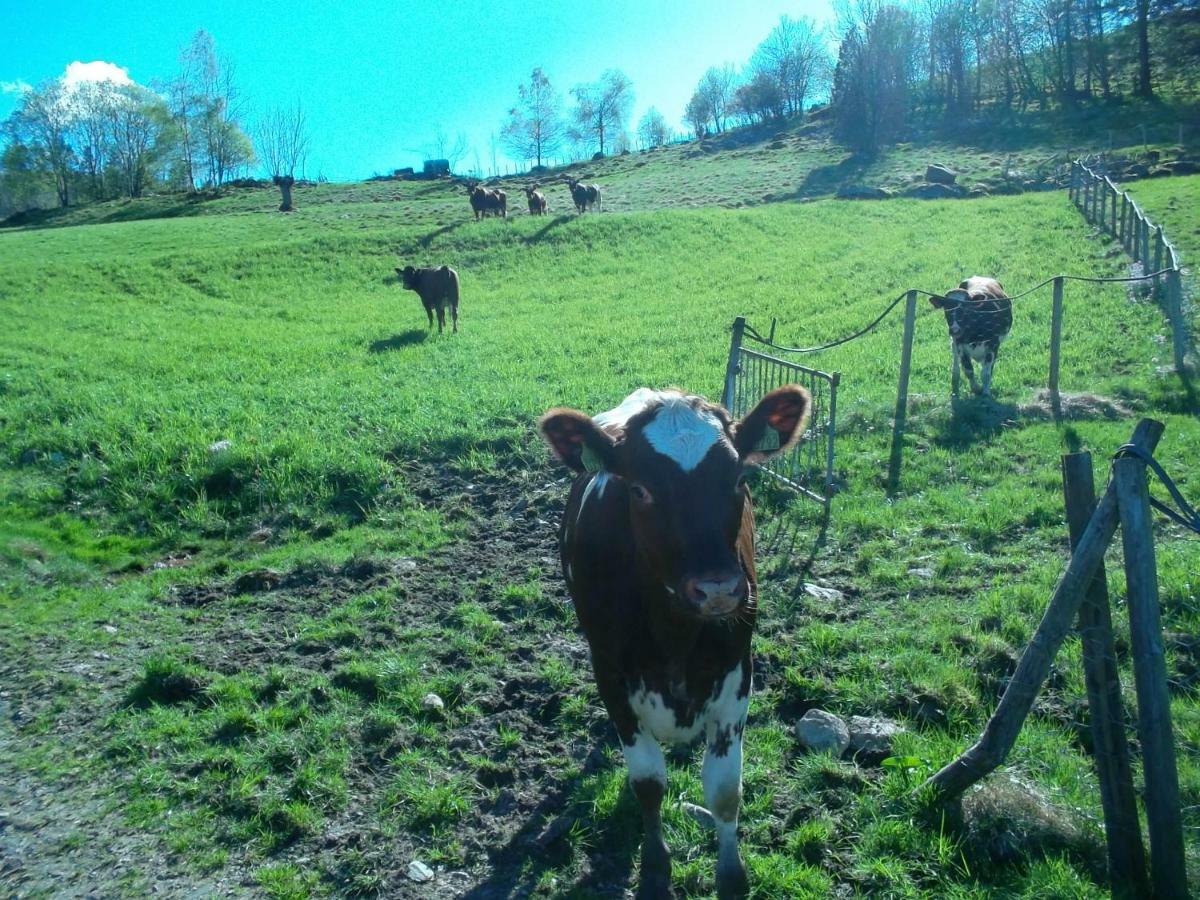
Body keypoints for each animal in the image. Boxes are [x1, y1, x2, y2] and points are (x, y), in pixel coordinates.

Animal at [540, 386, 811, 900]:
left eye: (739, 477)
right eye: (640, 489)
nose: (718, 589)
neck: (676, 638)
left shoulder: (737, 674)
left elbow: (725, 791)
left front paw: (731, 875)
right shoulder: (610, 674)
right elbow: (648, 782)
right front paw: (655, 866)